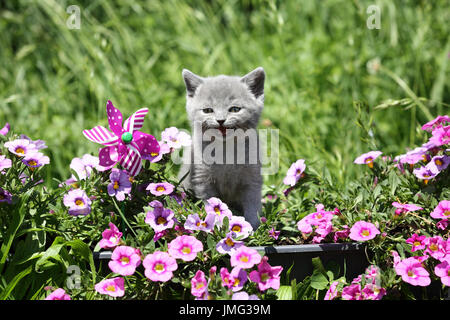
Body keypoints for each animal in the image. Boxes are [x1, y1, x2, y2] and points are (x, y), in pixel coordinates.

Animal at [178, 67, 266, 230]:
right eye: (207, 110)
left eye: (235, 109)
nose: (220, 120)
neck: (226, 150)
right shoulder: (203, 180)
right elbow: (211, 205)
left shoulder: (252, 180)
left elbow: (253, 205)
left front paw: (253, 227)